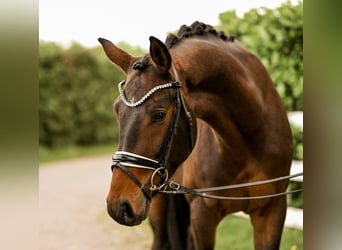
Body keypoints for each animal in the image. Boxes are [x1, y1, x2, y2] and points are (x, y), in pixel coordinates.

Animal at [97, 22, 292, 250]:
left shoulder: (272, 210)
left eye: (159, 114)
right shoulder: (202, 213)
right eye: (117, 110)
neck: (248, 145)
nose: (119, 205)